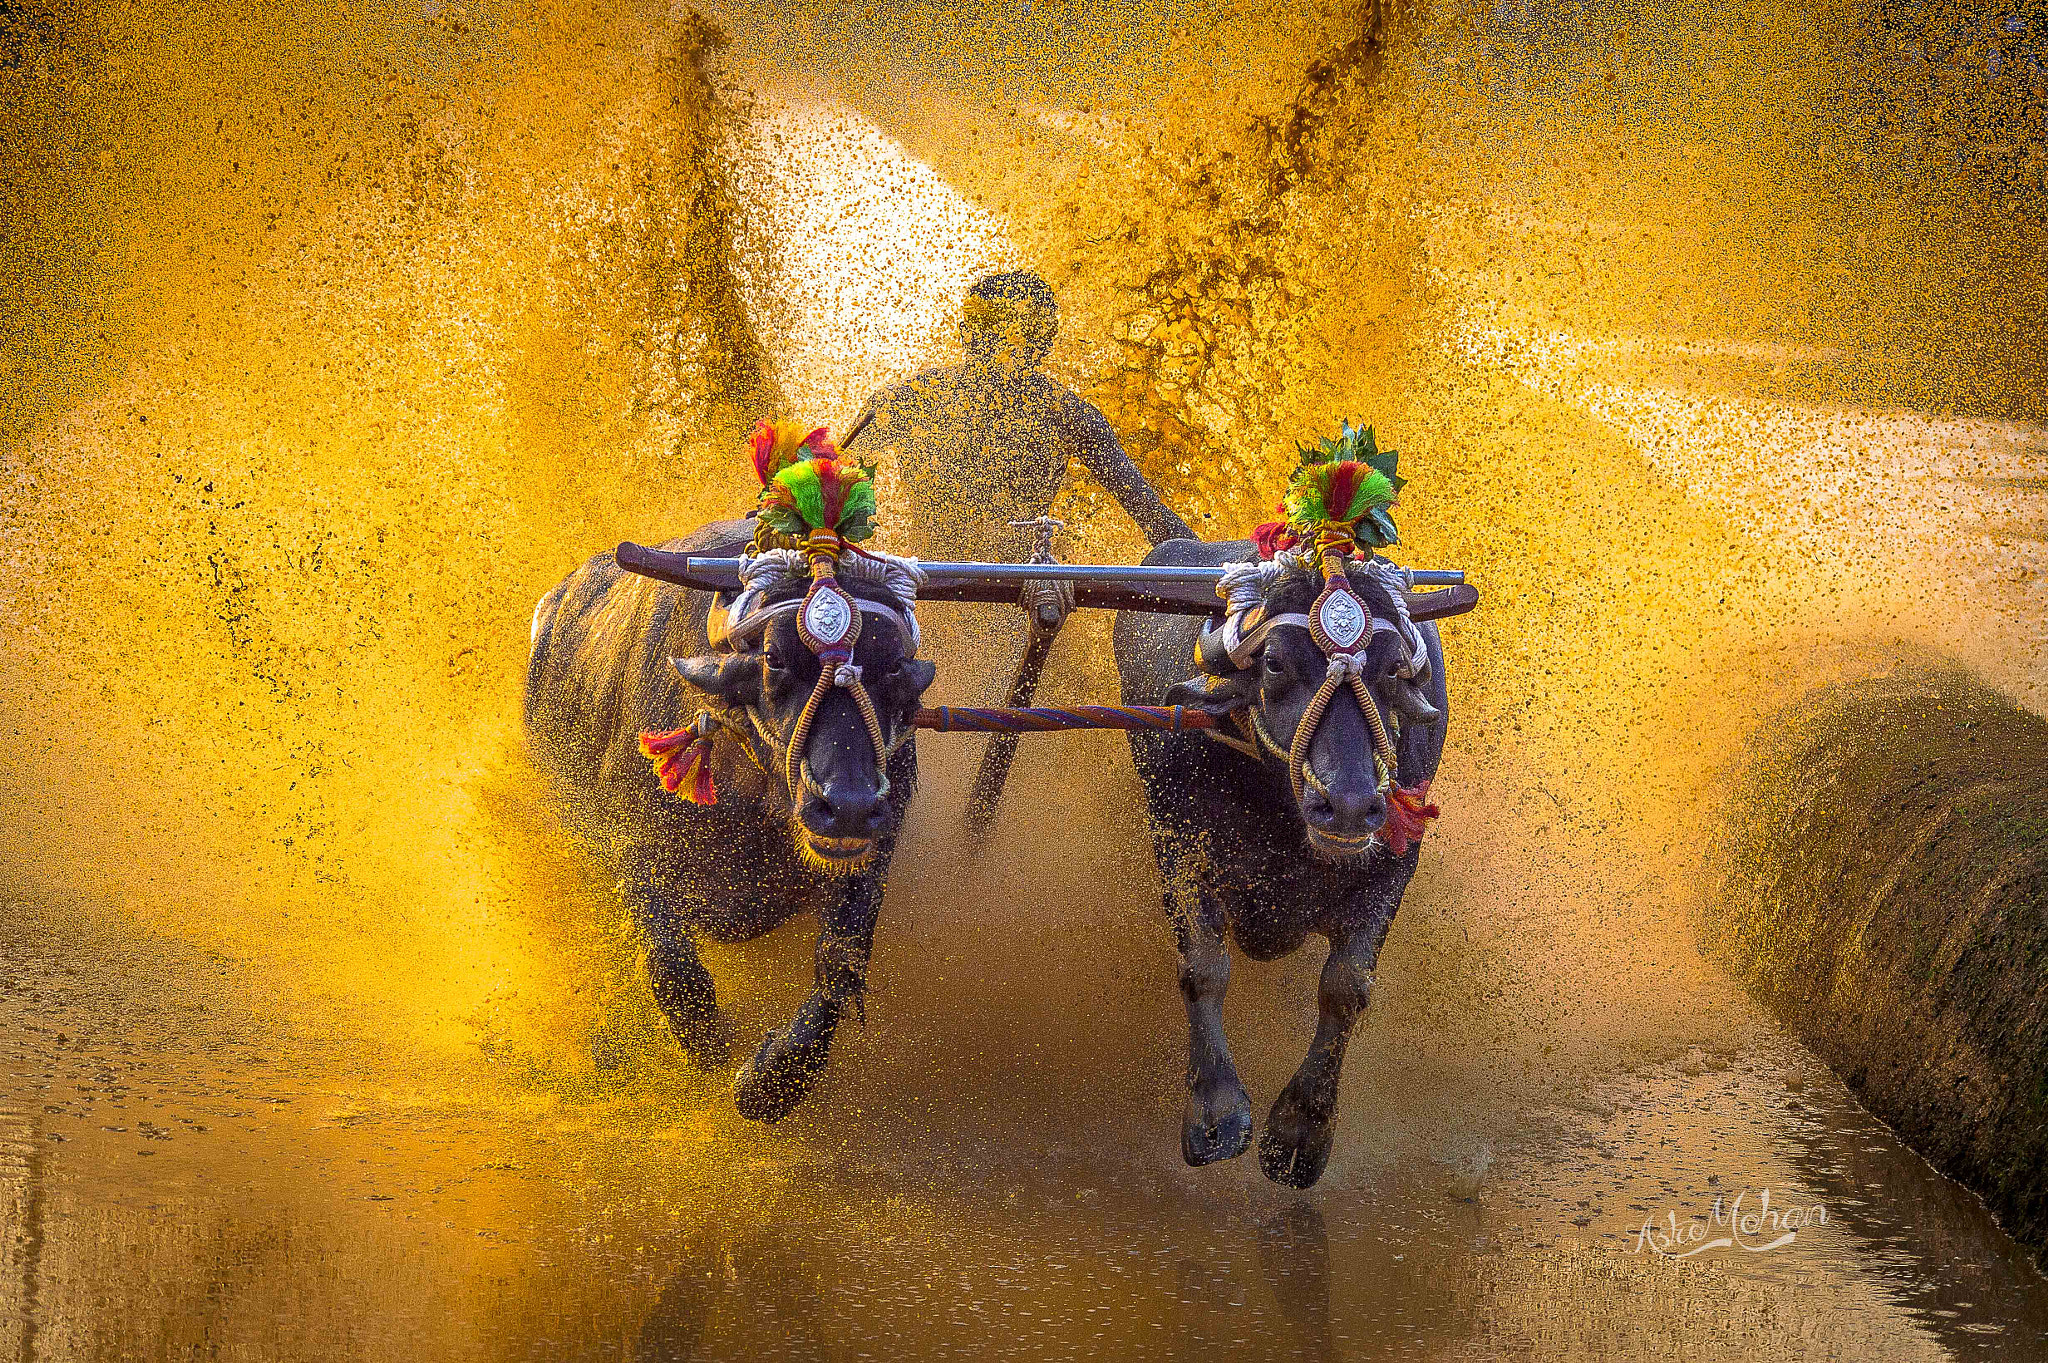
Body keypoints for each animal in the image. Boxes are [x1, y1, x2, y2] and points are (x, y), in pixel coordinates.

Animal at [528, 517, 942, 1113]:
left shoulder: (870, 857)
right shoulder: (636, 851)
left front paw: (766, 1085)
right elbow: (673, 966)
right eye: (774, 659)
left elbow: (840, 970)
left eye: (895, 667)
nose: (848, 806)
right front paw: (709, 1051)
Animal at [1114, 536, 1449, 1186]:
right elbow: (1203, 967)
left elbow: (1347, 985)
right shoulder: (1177, 843)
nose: (1349, 805)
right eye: (1274, 665)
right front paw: (1215, 1112)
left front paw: (1300, 1129)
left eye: (1392, 668)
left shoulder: (1396, 858)